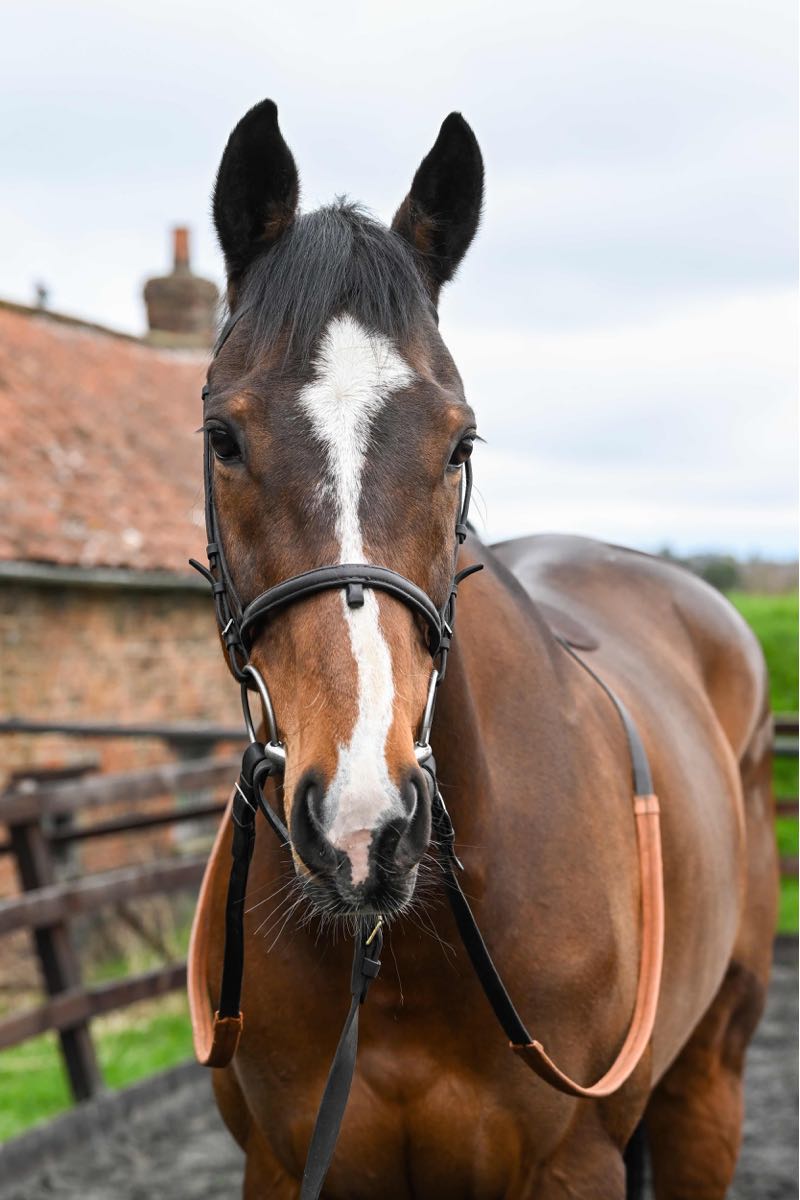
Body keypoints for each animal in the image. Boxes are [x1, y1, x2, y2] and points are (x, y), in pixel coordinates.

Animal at [188, 99, 778, 1199]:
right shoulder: (283, 1164)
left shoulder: (572, 1166)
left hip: (707, 1083)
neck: (402, 954)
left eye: (459, 441)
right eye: (223, 439)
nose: (363, 825)